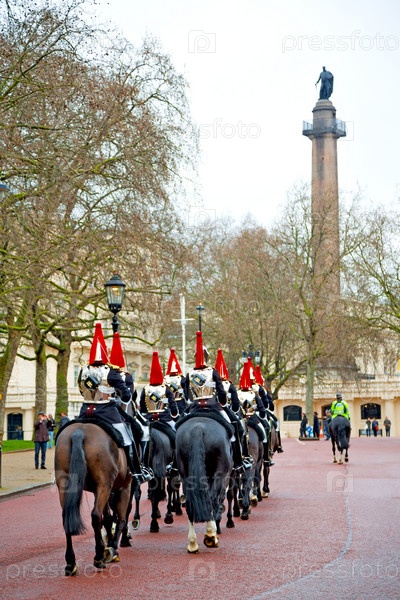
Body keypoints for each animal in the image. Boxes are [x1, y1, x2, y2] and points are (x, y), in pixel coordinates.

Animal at [54, 422, 133, 576]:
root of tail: (79, 432)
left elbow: (108, 518)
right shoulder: (124, 486)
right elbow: (120, 519)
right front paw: (113, 548)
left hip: (64, 485)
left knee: (67, 518)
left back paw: (71, 563)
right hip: (104, 484)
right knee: (96, 515)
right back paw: (99, 557)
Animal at [175, 414, 233, 553]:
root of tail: (198, 428)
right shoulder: (224, 478)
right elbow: (219, 501)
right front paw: (215, 531)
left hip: (185, 474)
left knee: (190, 502)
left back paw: (192, 543)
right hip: (219, 474)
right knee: (211, 499)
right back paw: (211, 535)